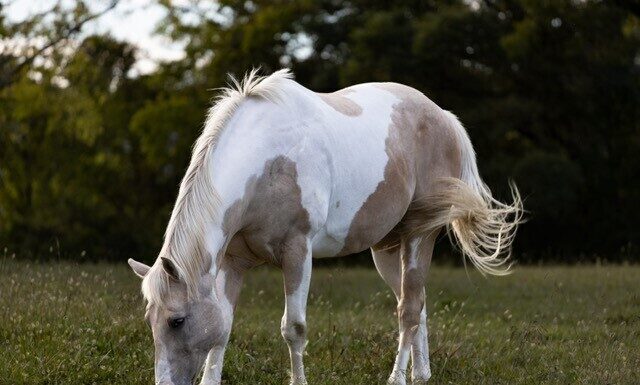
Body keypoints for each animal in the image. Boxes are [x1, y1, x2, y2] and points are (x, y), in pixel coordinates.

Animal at [127, 69, 524, 384]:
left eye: (176, 321)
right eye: (150, 319)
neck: (268, 160)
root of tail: (443, 116)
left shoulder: (298, 252)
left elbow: (294, 328)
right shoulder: (232, 262)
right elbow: (221, 329)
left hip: (417, 236)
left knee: (408, 309)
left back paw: (397, 378)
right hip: (386, 249)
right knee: (416, 303)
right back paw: (421, 375)